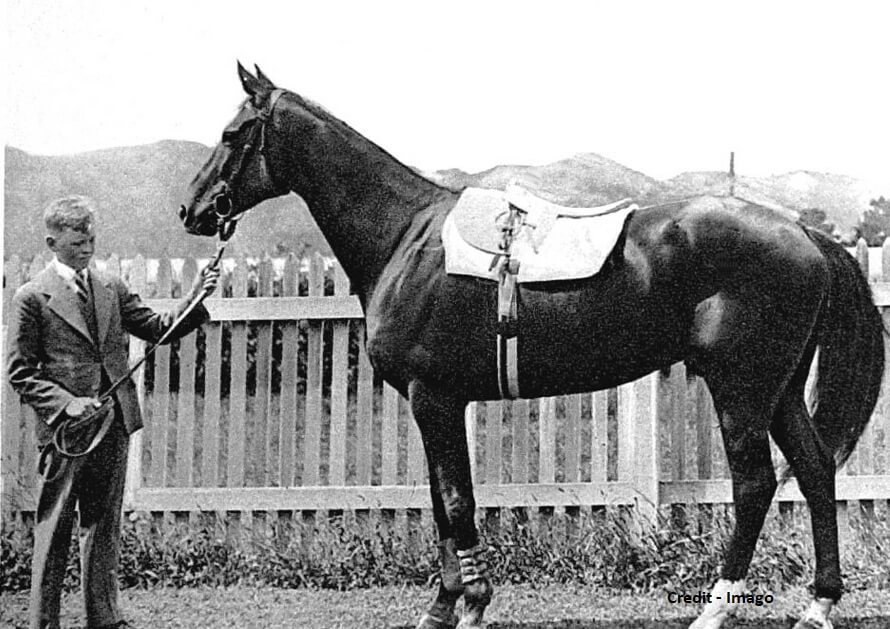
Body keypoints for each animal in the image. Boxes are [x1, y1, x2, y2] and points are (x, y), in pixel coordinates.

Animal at [179, 63, 884, 629]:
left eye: (233, 134)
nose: (192, 211)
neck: (407, 237)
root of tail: (803, 234)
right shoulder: (439, 403)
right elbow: (444, 505)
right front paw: (443, 607)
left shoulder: (433, 398)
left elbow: (456, 503)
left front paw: (470, 605)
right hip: (779, 390)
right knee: (815, 471)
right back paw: (818, 604)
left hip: (741, 391)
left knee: (756, 483)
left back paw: (715, 609)